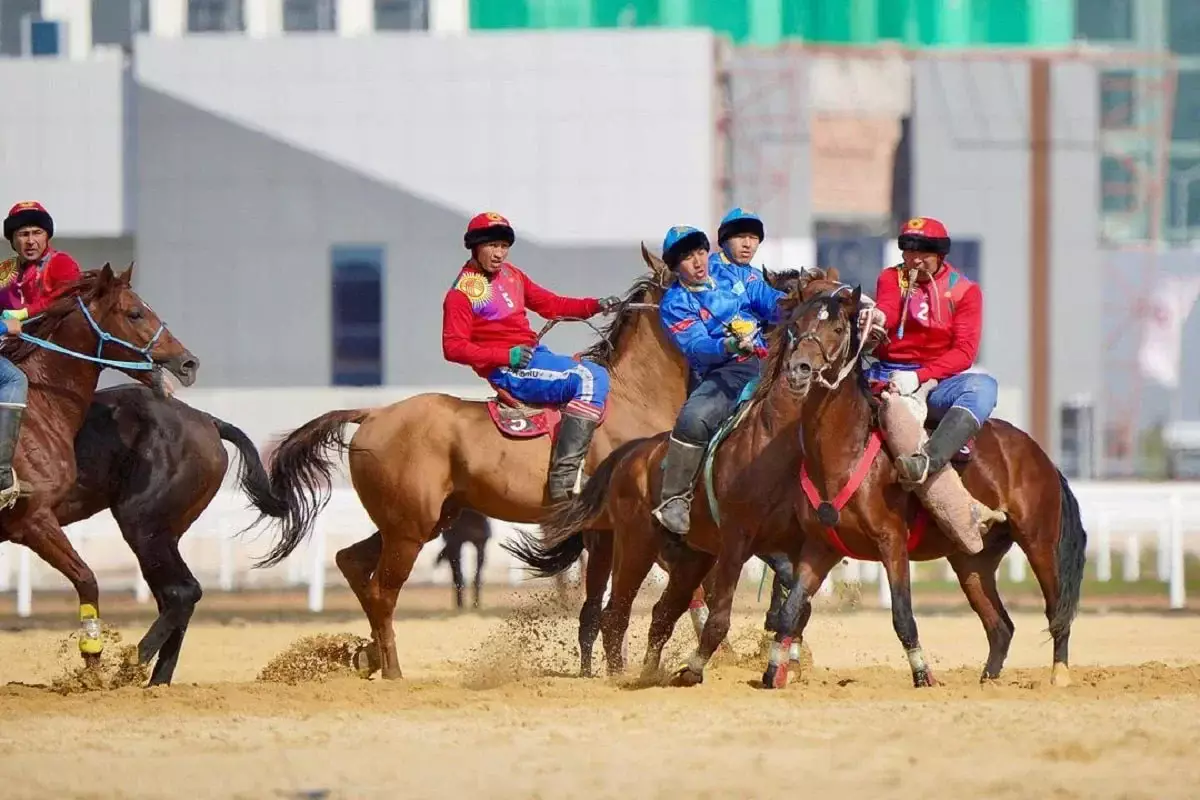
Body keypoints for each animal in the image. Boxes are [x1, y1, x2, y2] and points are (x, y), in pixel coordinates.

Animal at [0, 266, 196, 666]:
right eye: (134, 313)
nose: (187, 362)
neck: (41, 406)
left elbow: (86, 579)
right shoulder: (34, 520)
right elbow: (87, 579)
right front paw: (92, 658)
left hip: (150, 530)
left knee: (180, 593)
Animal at [56, 383, 290, 686]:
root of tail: (208, 420)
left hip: (143, 526)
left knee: (182, 592)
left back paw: (130, 667)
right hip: (165, 535)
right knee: (179, 594)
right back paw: (156, 681)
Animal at [504, 272, 844, 681]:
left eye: (843, 318)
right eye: (807, 312)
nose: (803, 370)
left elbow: (790, 590)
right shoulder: (730, 538)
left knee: (633, 614)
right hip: (631, 544)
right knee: (612, 614)